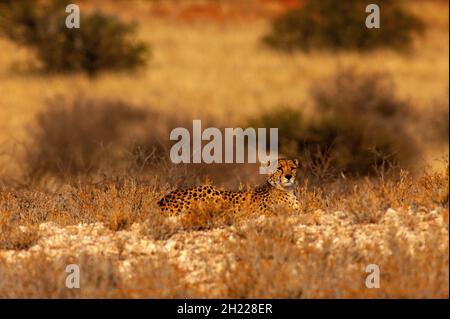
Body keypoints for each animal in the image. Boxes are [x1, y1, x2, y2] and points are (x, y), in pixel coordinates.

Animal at [158, 159, 298, 216]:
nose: (289, 176)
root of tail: (162, 200)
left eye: (292, 168)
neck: (287, 190)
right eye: (279, 168)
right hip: (211, 190)